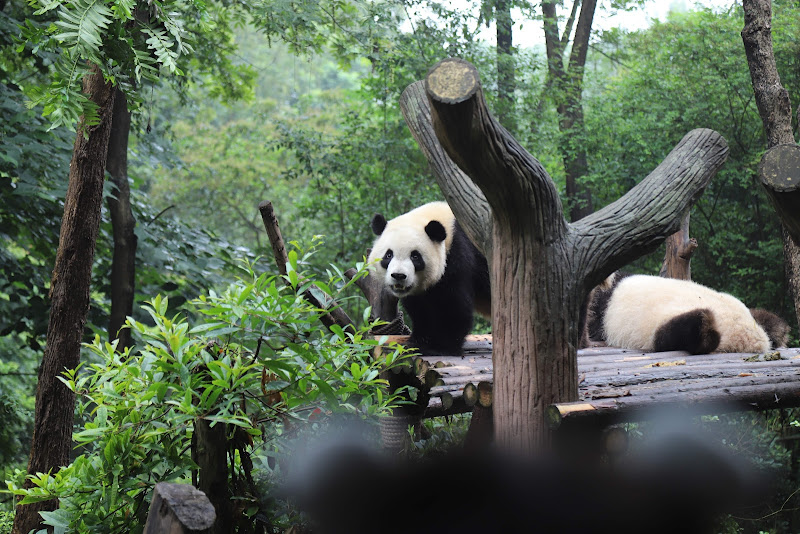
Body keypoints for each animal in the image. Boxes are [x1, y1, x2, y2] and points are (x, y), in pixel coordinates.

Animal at [368, 202, 490, 356]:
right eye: (388, 255)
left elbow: (455, 305)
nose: (398, 276)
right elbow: (420, 308)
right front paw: (420, 340)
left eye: (415, 256)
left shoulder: (458, 256)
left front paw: (442, 347)